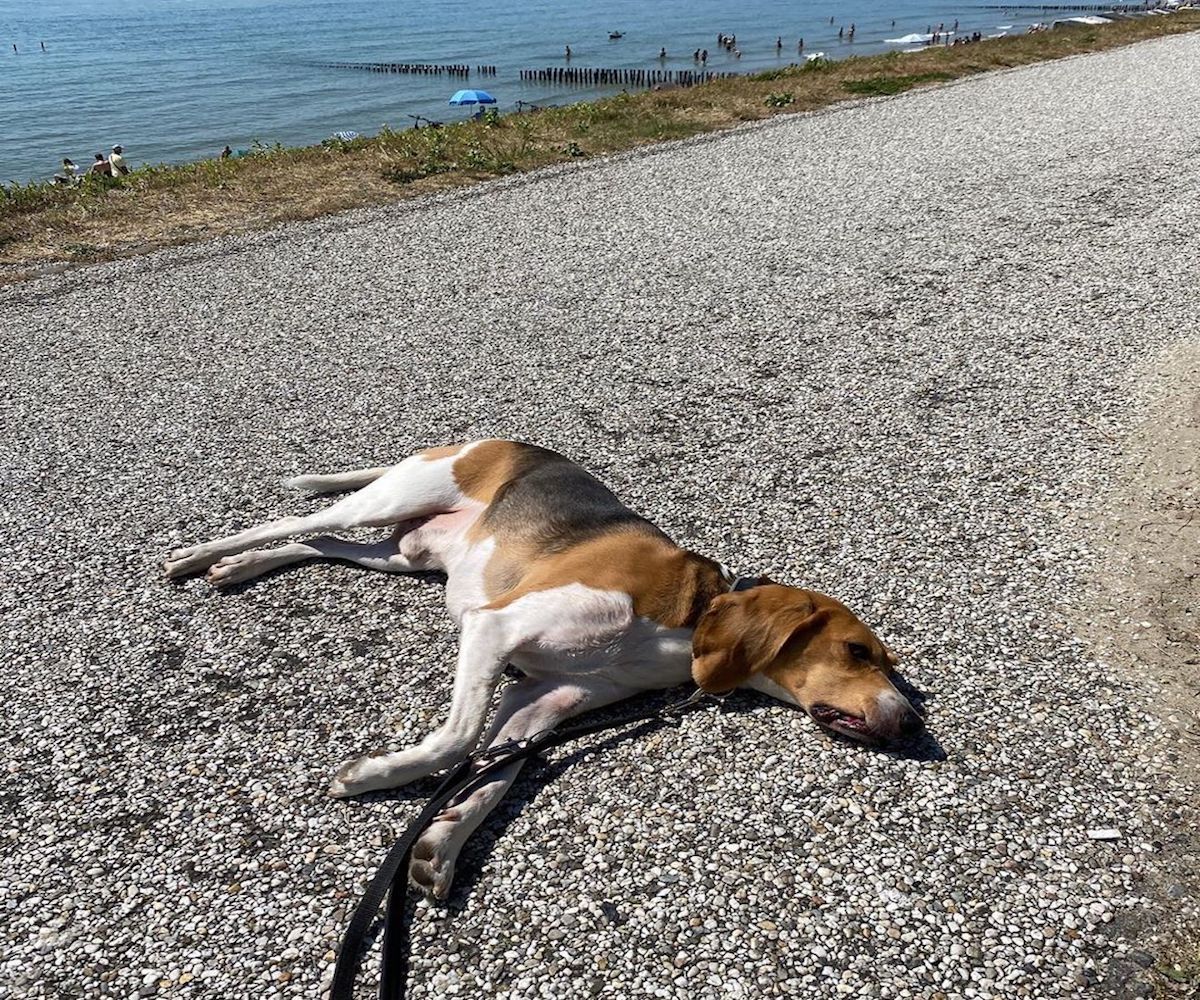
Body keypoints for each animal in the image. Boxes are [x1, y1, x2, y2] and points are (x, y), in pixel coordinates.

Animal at [164, 441, 921, 893]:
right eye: (858, 652)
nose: (911, 724)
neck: (695, 616)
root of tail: (503, 440)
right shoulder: (494, 629)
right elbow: (458, 743)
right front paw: (376, 776)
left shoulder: (543, 699)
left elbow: (496, 773)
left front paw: (443, 839)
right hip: (390, 499)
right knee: (292, 520)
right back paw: (204, 554)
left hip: (403, 556)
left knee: (317, 543)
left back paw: (240, 569)